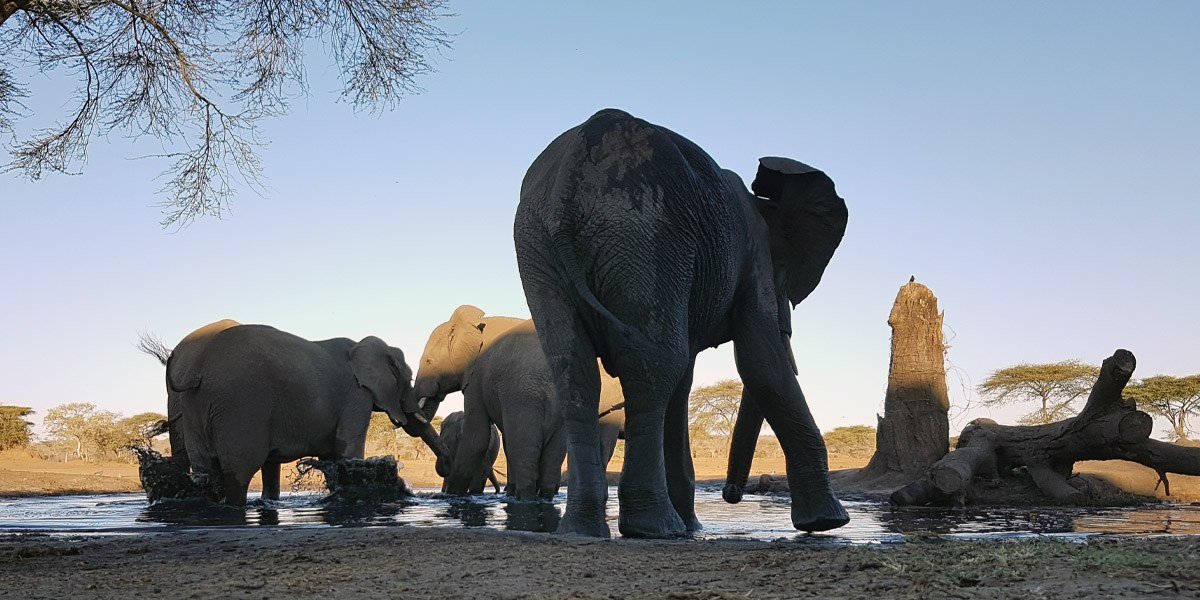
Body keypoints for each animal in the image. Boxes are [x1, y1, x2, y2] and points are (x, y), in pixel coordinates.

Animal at [163, 322, 447, 505]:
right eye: (408, 380)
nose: (444, 464)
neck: (362, 346)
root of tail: (198, 370)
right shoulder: (356, 395)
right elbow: (347, 450)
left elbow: (325, 457)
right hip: (239, 405)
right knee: (239, 471)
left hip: (196, 407)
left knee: (205, 470)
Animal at [412, 305, 625, 500]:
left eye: (429, 362)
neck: (475, 322)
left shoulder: (476, 377)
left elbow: (477, 437)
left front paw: (452, 496)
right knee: (552, 452)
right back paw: (543, 497)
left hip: (524, 399)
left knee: (525, 448)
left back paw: (525, 498)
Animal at [513, 108, 850, 538]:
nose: (731, 494)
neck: (763, 202)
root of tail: (574, 166)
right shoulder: (752, 253)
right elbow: (760, 361)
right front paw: (827, 523)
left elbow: (688, 379)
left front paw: (694, 527)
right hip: (647, 232)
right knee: (654, 364)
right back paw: (655, 527)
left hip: (542, 247)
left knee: (576, 371)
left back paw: (584, 530)